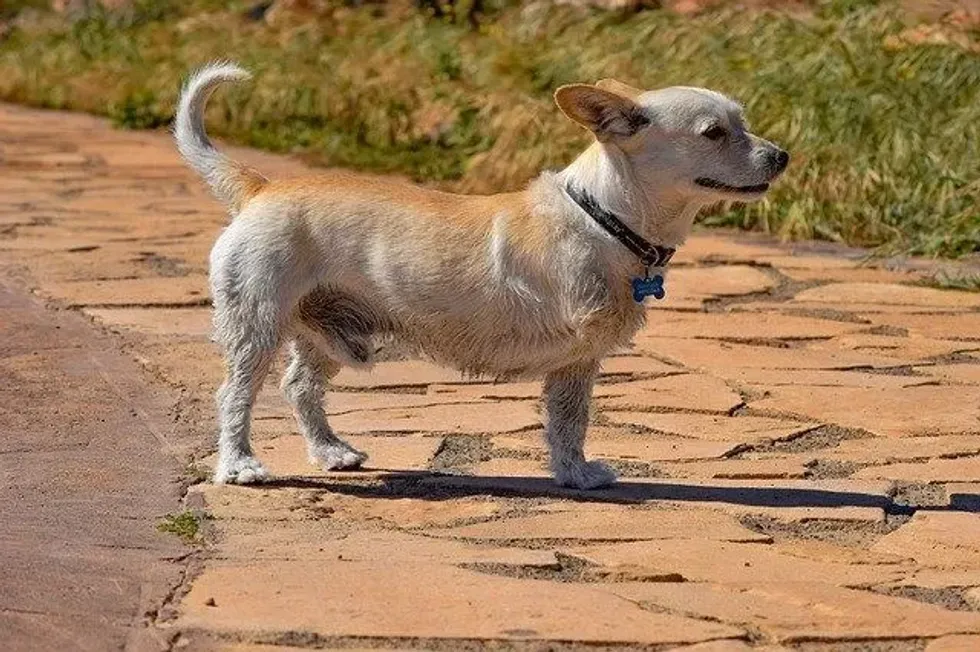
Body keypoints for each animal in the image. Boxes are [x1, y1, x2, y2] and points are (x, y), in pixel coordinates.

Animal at [174, 63, 788, 488]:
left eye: (743, 123)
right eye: (714, 133)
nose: (782, 156)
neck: (605, 217)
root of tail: (261, 187)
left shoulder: (577, 365)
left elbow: (569, 423)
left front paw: (575, 475)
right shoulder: (576, 355)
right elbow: (569, 421)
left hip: (327, 331)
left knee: (299, 386)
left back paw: (331, 451)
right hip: (256, 322)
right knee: (234, 393)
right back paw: (240, 465)